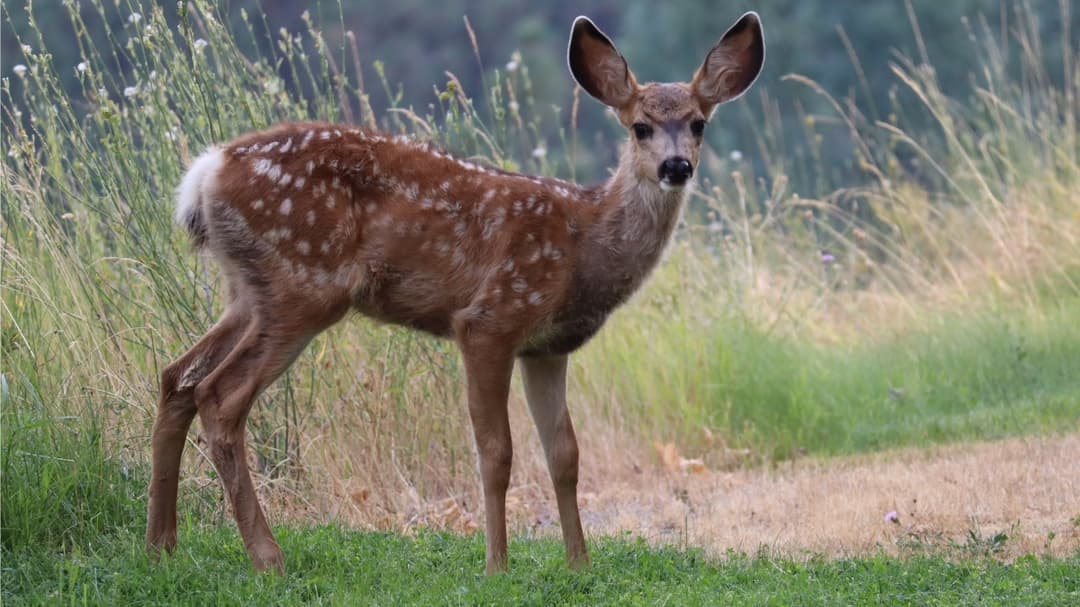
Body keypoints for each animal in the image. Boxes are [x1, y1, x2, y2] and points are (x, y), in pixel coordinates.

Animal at [146, 12, 764, 575]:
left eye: (698, 123)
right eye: (640, 126)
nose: (676, 166)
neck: (583, 243)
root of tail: (205, 173)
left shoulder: (546, 347)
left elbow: (564, 453)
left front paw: (579, 565)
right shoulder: (491, 318)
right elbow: (497, 452)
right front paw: (497, 565)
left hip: (248, 291)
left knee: (178, 377)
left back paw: (162, 544)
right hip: (304, 284)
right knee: (220, 396)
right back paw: (267, 557)